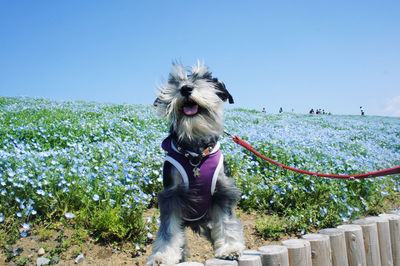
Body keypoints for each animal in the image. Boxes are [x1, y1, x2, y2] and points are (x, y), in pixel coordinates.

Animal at [148, 61, 244, 264]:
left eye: (203, 78)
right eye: (175, 81)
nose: (185, 88)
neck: (196, 153)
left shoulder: (222, 191)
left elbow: (226, 222)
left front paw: (230, 247)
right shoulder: (172, 195)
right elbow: (168, 231)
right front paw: (163, 256)